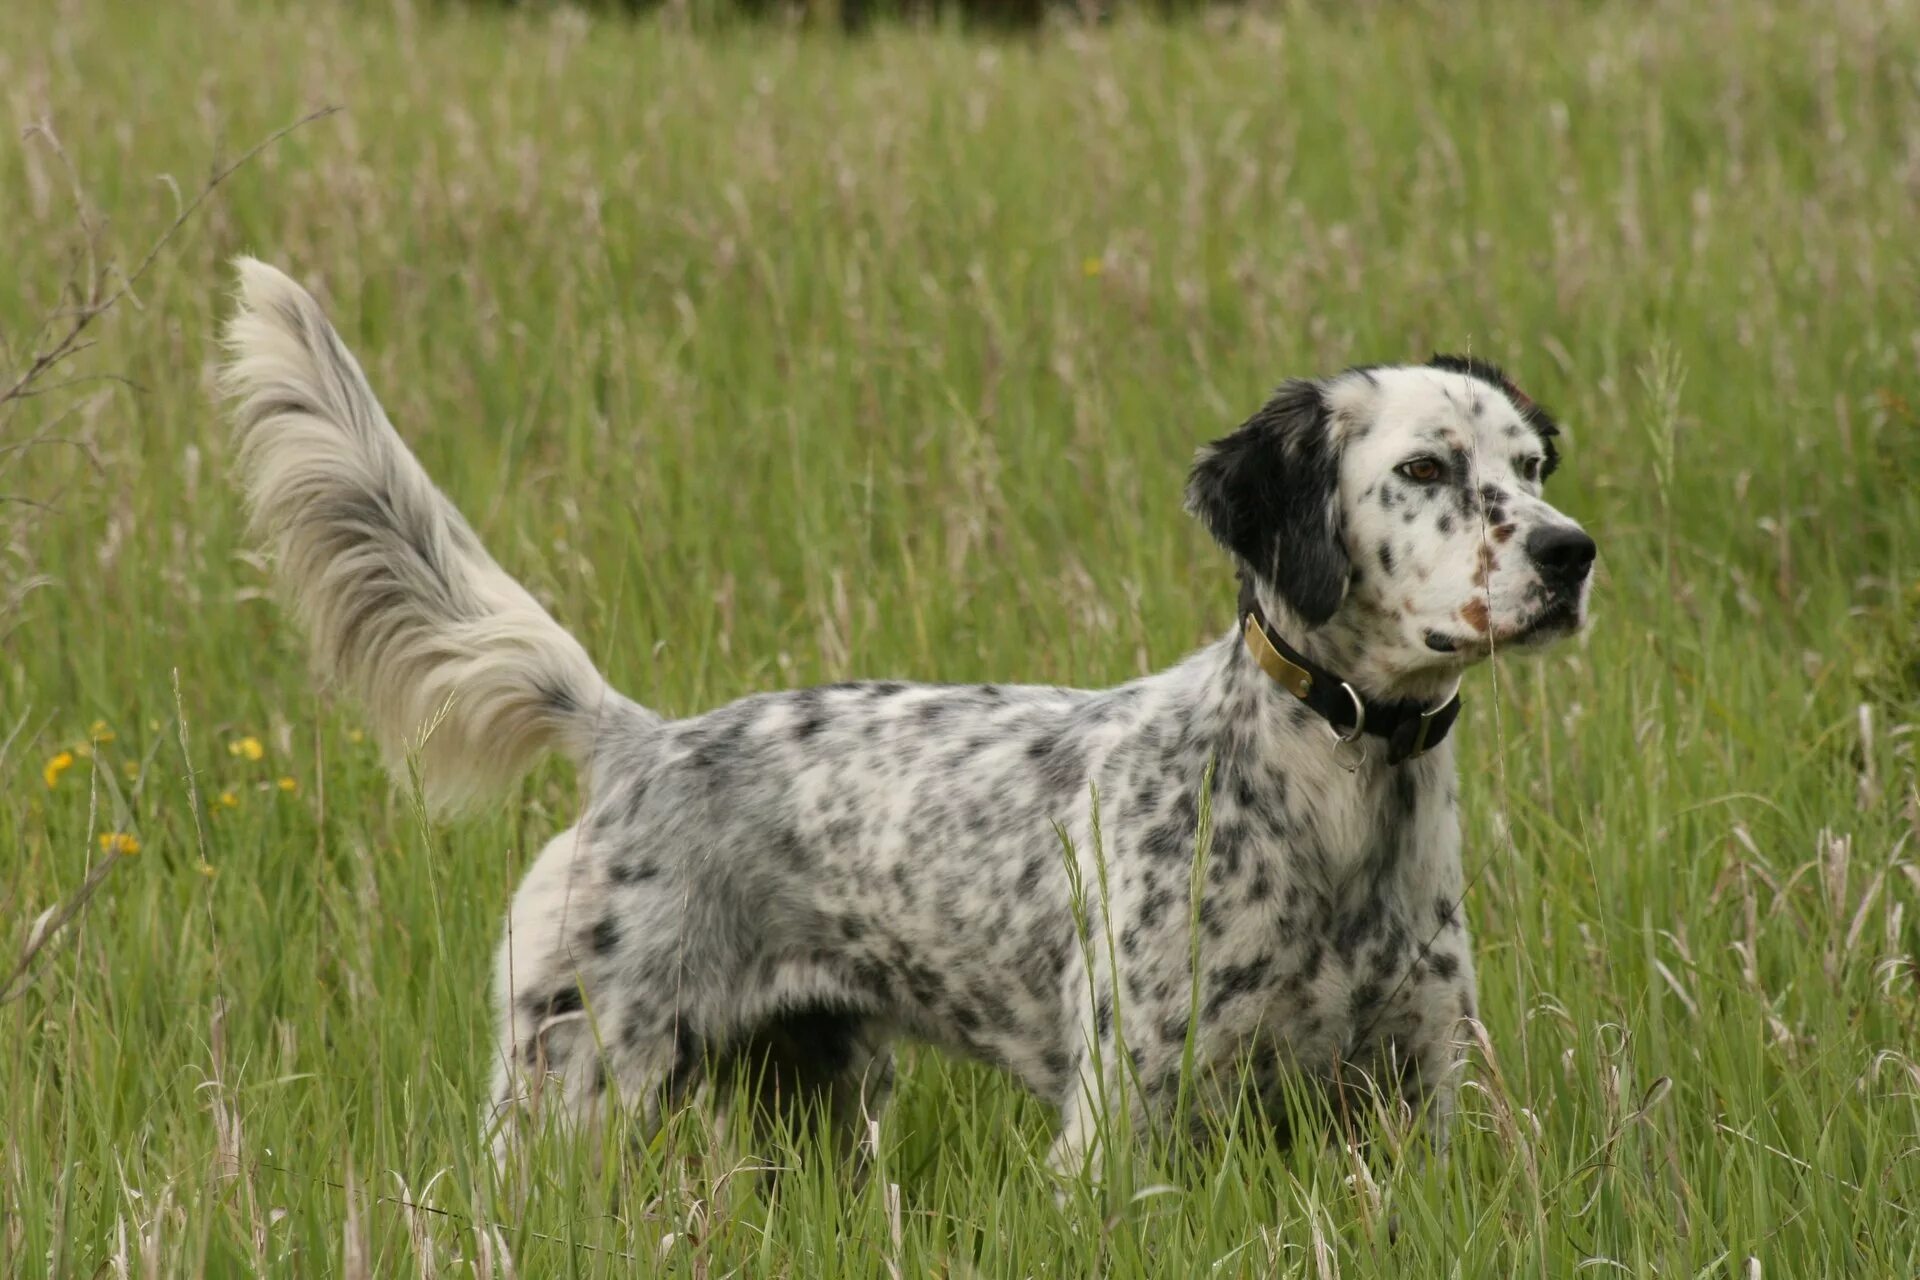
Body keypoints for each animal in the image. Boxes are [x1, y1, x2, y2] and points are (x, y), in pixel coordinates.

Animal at [220, 257, 1589, 1182]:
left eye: (1530, 467)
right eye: (1423, 469)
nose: (1571, 554)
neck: (1330, 797)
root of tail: (641, 741)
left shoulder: (1413, 1098)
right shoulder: (1127, 1120)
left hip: (816, 1102)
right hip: (568, 1090)